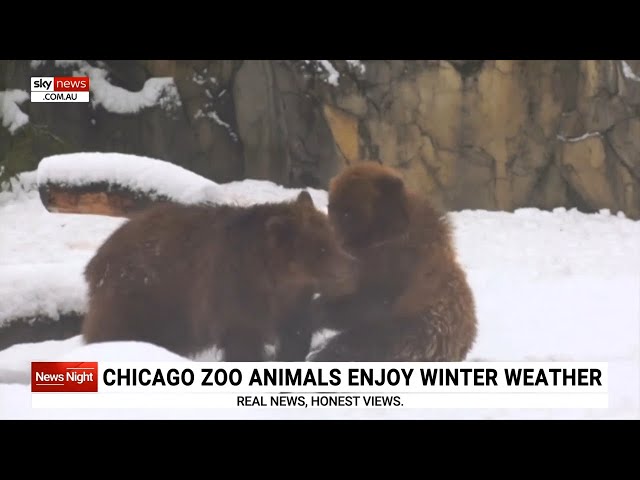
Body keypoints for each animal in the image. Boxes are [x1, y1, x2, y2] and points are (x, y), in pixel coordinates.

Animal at [81, 190, 360, 360]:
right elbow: (243, 343)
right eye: (321, 247)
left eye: (332, 237)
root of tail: (98, 257)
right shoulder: (233, 294)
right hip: (145, 297)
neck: (275, 279)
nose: (352, 265)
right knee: (114, 330)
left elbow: (296, 336)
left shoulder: (291, 303)